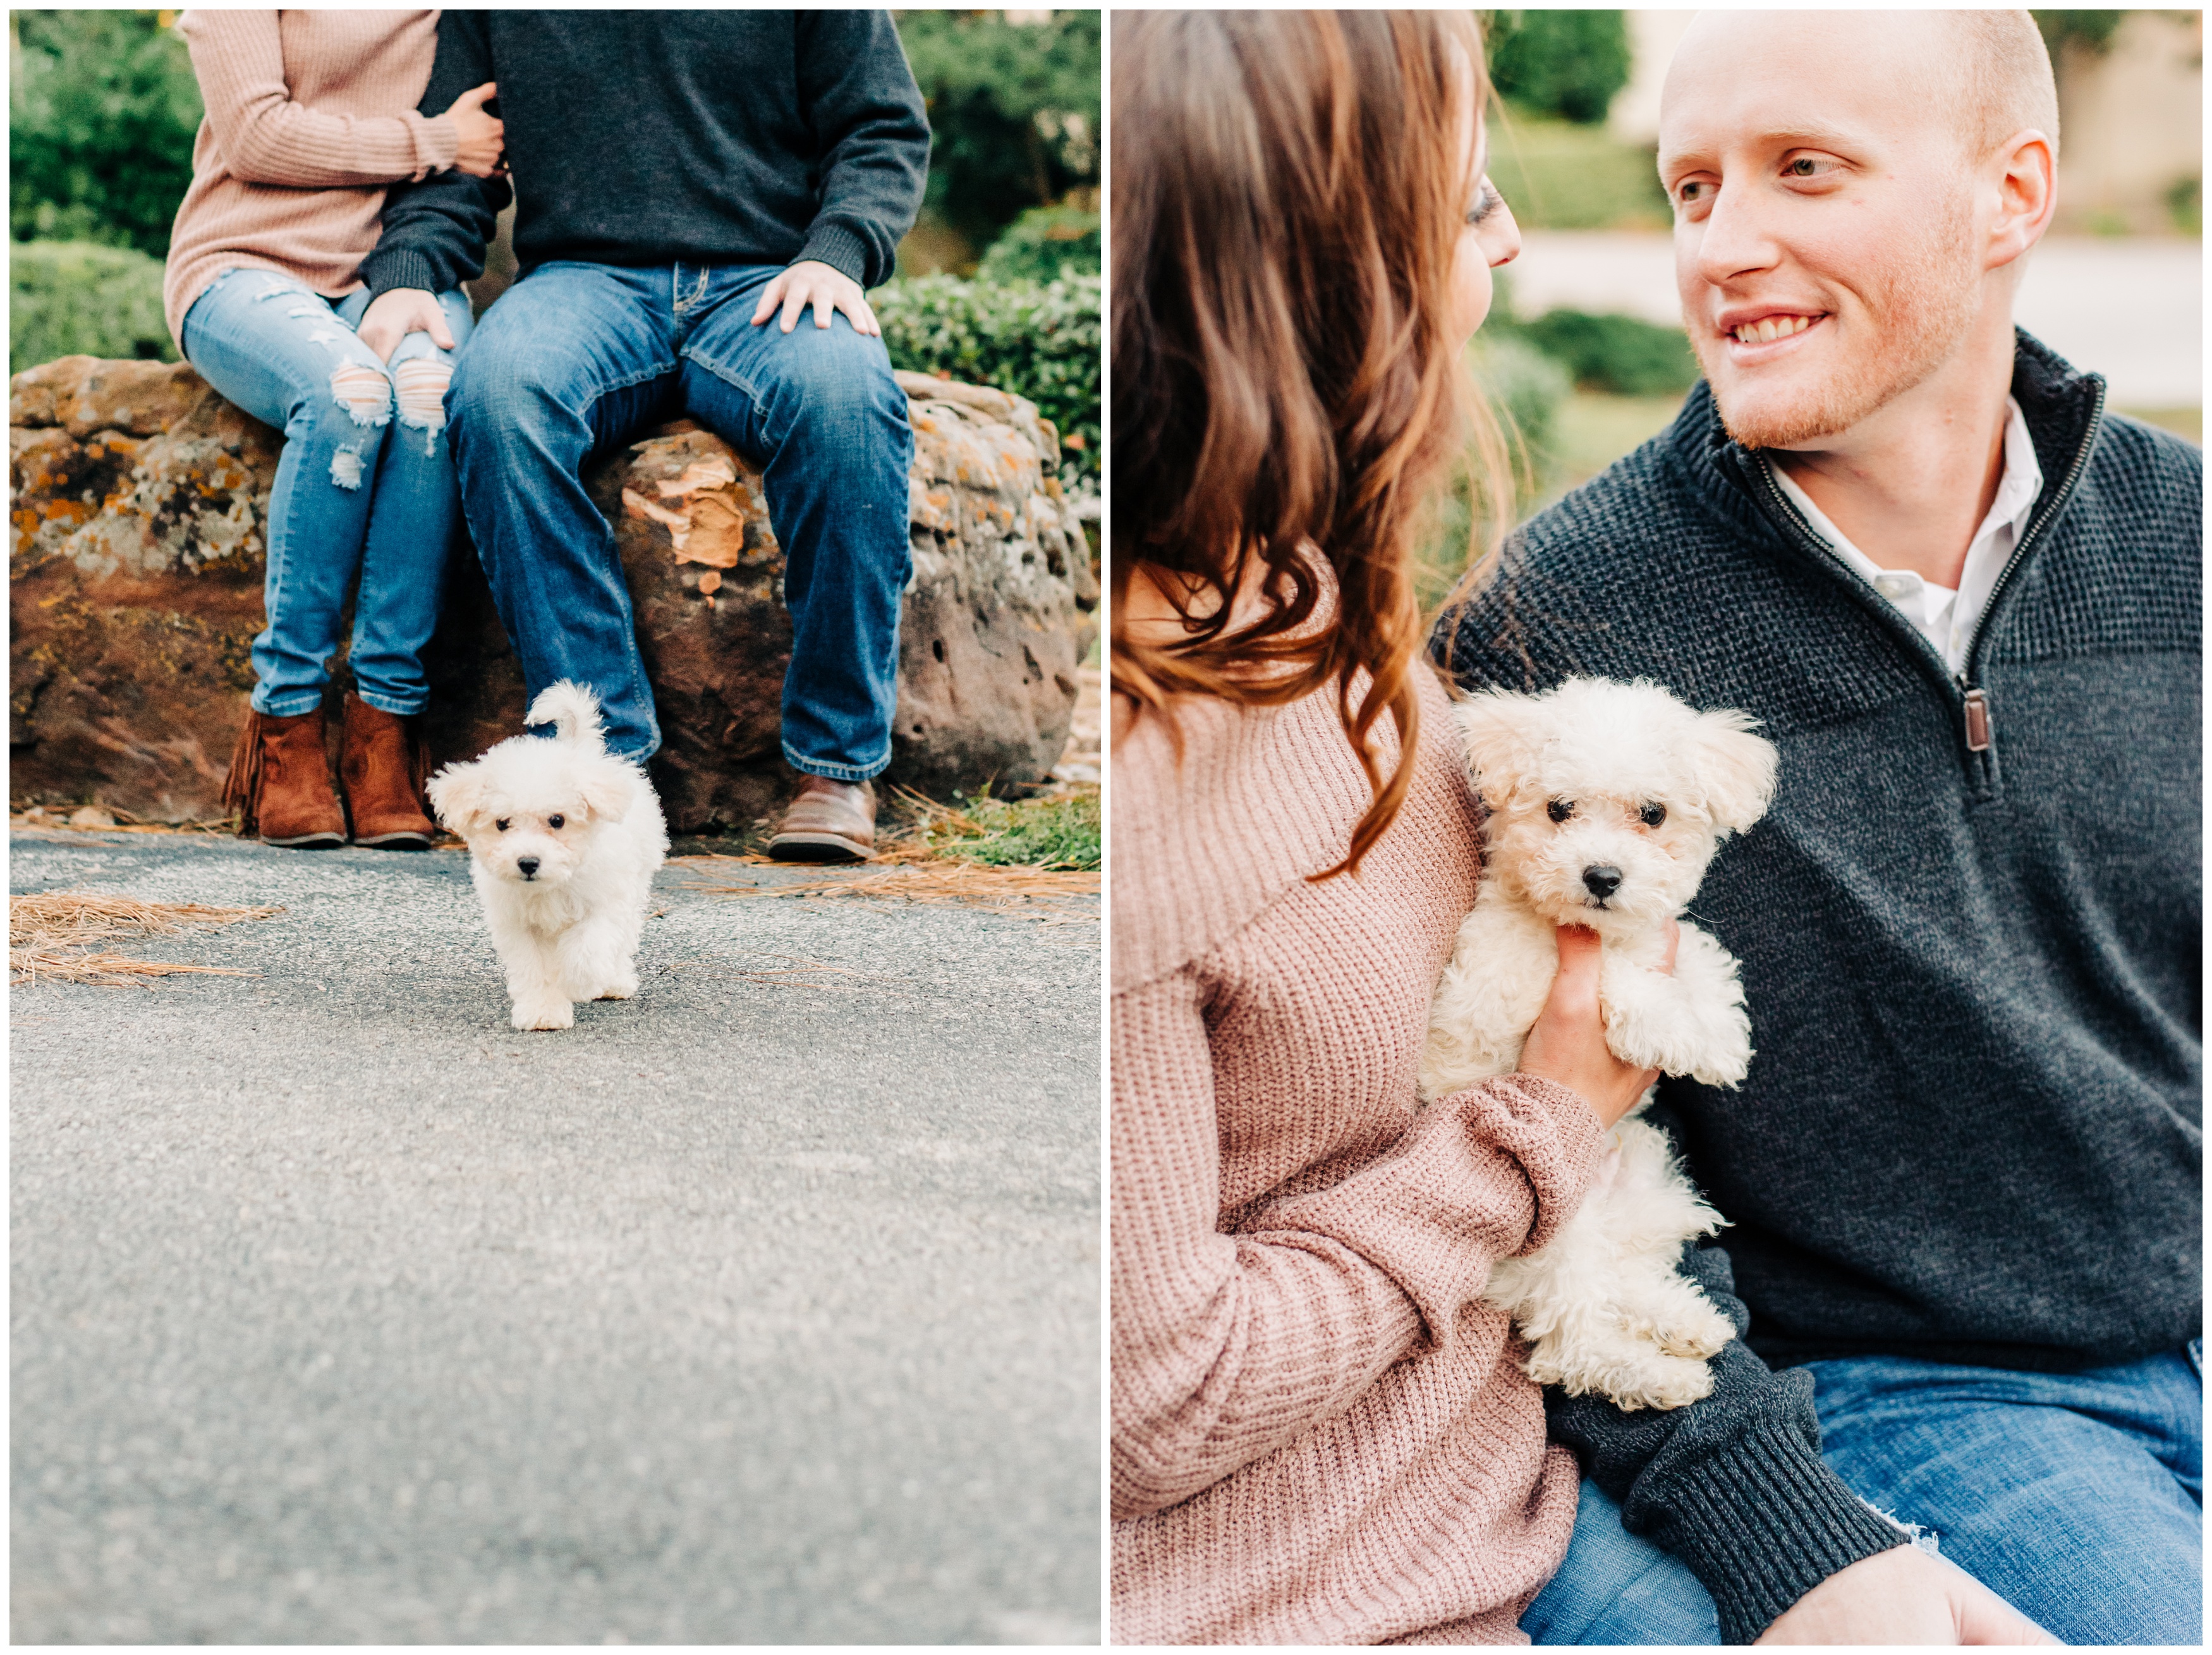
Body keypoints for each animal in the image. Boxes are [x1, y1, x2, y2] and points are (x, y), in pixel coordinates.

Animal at [422, 677, 664, 1027]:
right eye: (502, 823)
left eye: (557, 821)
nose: (528, 862)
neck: (552, 884)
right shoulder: (518, 923)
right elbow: (534, 969)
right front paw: (543, 1011)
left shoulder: (605, 901)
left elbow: (589, 947)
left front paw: (579, 983)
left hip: (637, 880)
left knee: (623, 939)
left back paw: (614, 982)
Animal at [1416, 673, 1778, 1407]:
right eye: (1559, 809)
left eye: (1653, 814)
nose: (1602, 876)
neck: (1589, 929)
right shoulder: (1506, 979)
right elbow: (1620, 975)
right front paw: (1682, 1032)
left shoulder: (1660, 936)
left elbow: (1696, 956)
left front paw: (1719, 1034)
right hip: (1553, 1236)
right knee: (1573, 1342)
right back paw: (1662, 1374)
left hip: (1644, 1176)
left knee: (1622, 1278)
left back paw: (1686, 1319)